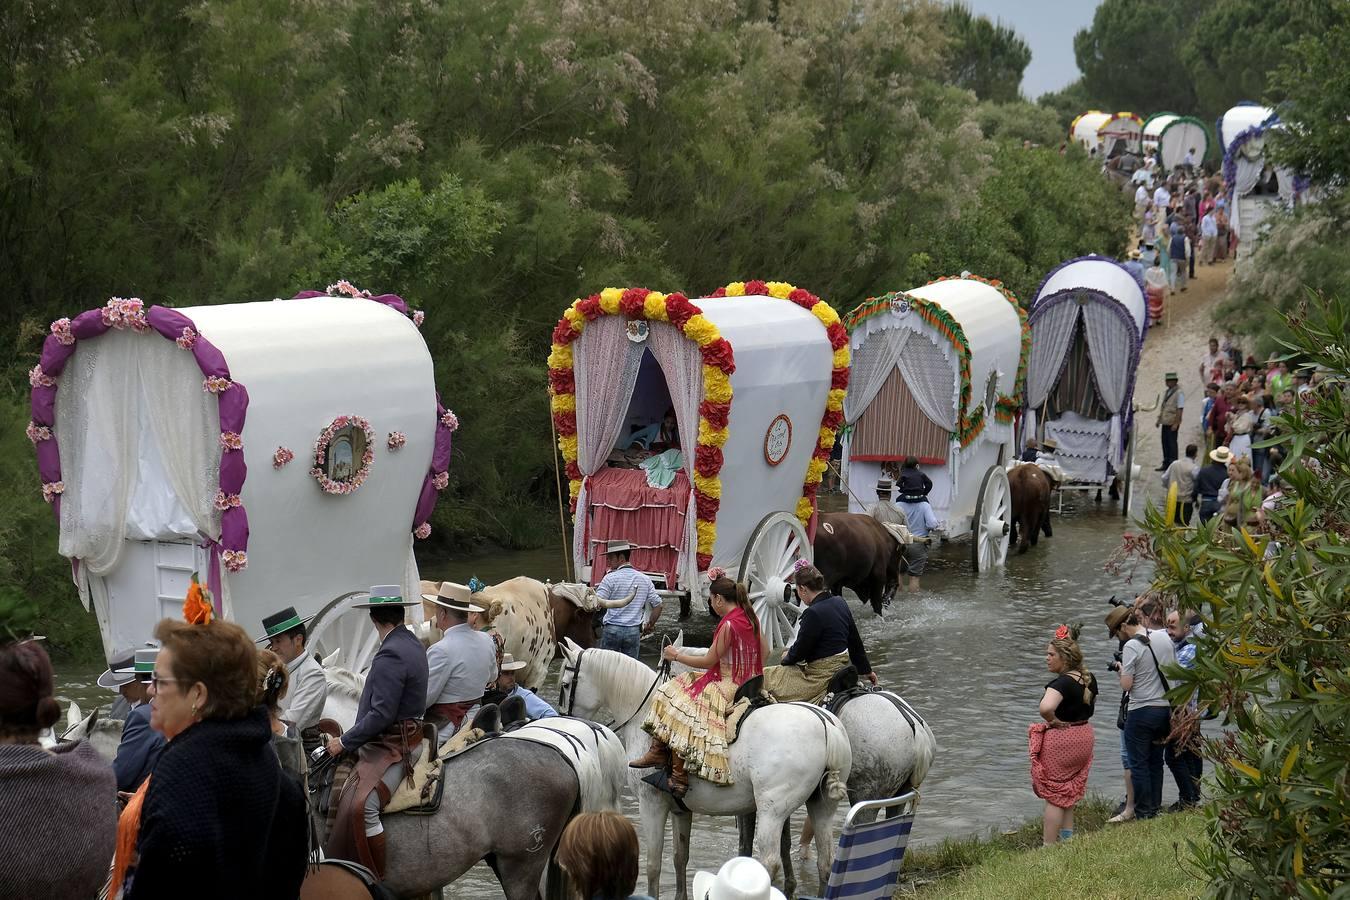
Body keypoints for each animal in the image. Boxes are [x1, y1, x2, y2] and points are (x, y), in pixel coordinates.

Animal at [553, 639, 847, 900]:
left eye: (566, 685)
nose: (565, 718)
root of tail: (826, 724)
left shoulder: (652, 804)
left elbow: (653, 865)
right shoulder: (680, 809)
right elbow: (679, 858)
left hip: (772, 811)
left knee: (769, 861)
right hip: (820, 806)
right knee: (826, 862)